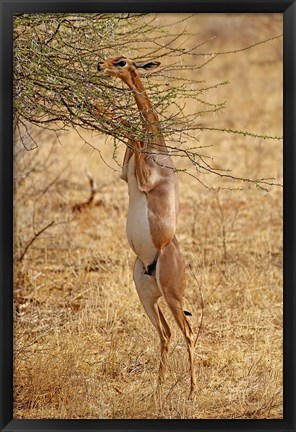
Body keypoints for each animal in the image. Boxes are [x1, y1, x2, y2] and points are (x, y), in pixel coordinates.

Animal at [97, 55, 197, 396]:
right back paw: (157, 390)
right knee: (165, 333)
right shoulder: (125, 174)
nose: (100, 66)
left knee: (188, 332)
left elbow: (131, 129)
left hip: (172, 296)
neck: (159, 150)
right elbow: (130, 132)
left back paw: (192, 391)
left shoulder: (143, 178)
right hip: (146, 296)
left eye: (122, 61)